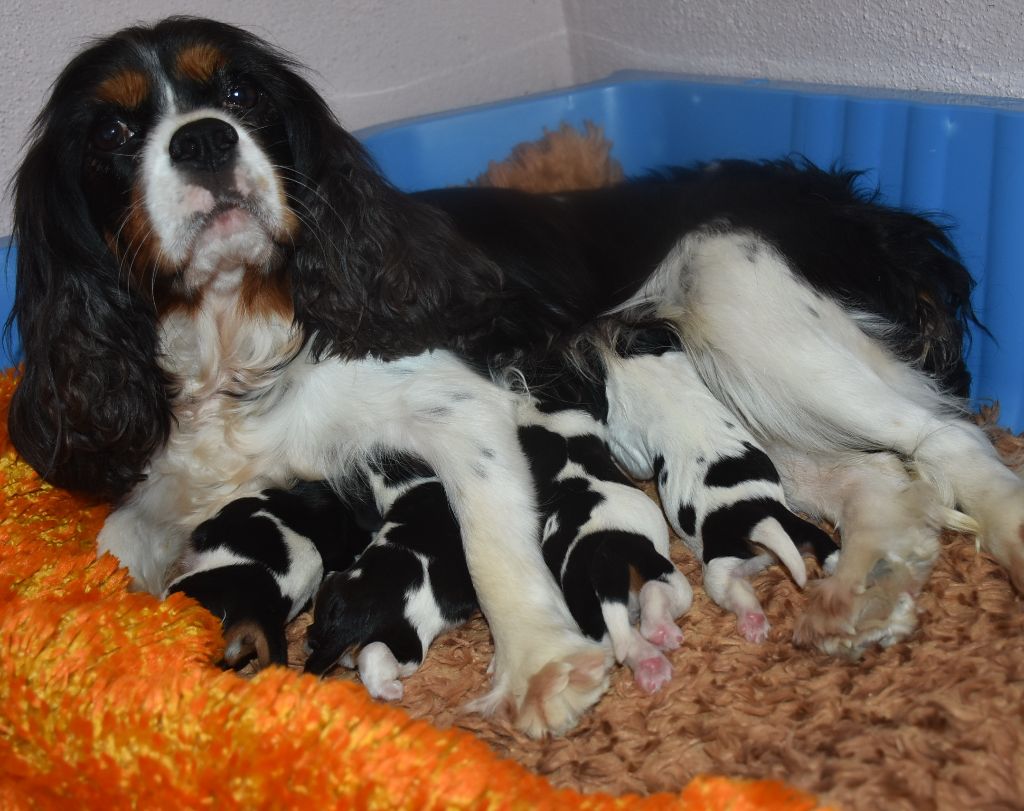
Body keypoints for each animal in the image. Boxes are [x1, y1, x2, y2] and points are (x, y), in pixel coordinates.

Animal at [9, 14, 1024, 733]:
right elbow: (120, 545)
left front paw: (539, 667)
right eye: (112, 130)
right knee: (876, 479)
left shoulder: (461, 405)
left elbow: (495, 543)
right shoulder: (165, 491)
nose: (206, 140)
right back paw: (857, 594)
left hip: (737, 288)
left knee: (942, 437)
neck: (239, 329)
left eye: (240, 94)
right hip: (747, 408)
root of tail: (868, 210)